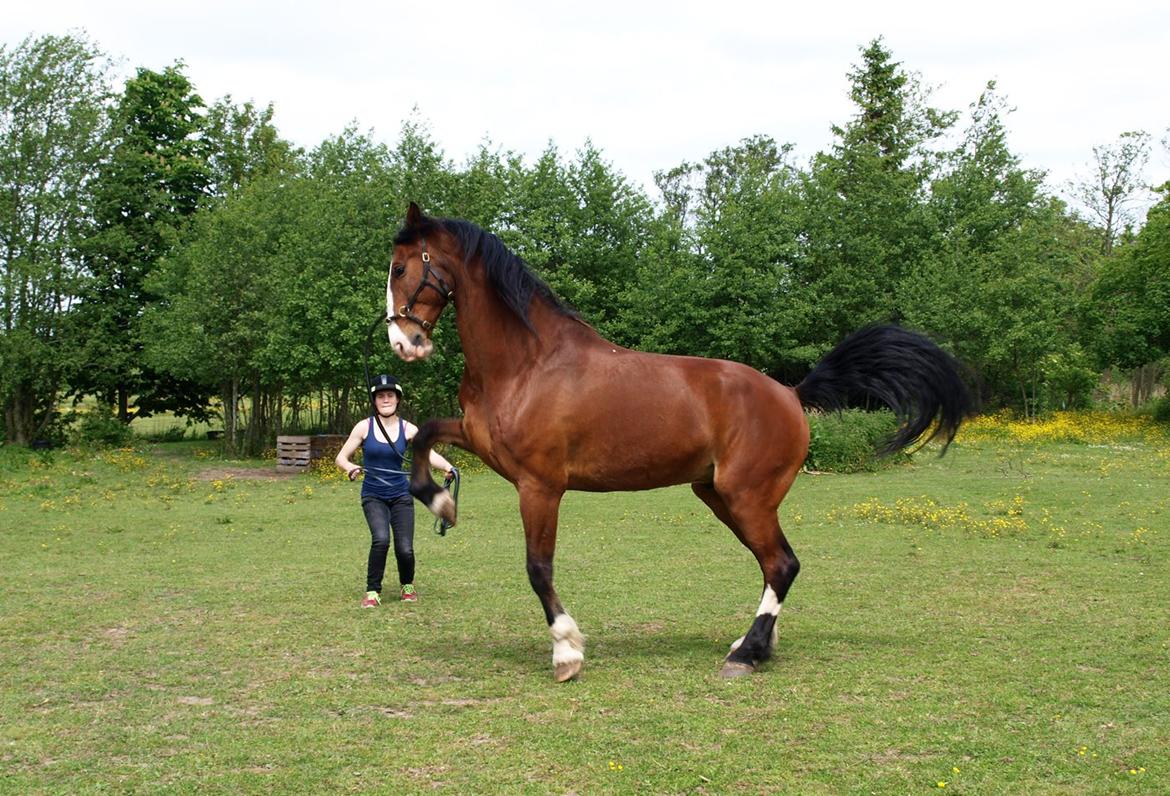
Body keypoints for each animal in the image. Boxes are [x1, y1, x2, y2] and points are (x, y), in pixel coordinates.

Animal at [383, 203, 968, 678]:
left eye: (401, 267)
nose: (403, 342)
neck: (529, 362)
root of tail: (790, 393)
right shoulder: (480, 441)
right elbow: (424, 436)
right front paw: (441, 502)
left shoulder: (540, 485)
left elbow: (537, 567)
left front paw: (567, 651)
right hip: (719, 496)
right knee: (772, 565)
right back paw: (756, 644)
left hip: (746, 497)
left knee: (782, 564)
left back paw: (746, 654)